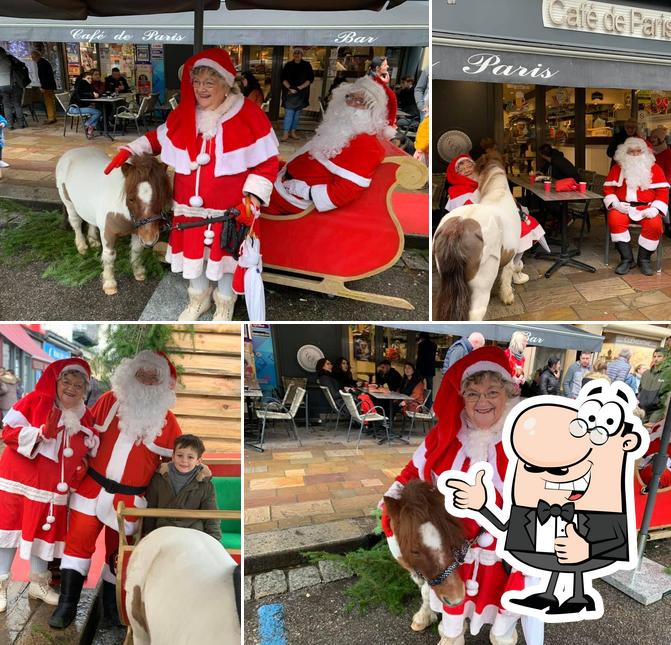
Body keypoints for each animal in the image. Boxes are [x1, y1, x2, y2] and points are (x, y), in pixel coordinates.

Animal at [55, 147, 172, 296]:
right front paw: (110, 284)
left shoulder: (137, 231)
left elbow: (137, 251)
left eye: (161, 197)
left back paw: (93, 241)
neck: (122, 209)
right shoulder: (108, 233)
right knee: (76, 223)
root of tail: (72, 151)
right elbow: (109, 256)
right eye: (131, 199)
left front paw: (138, 272)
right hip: (69, 203)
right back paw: (82, 247)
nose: (150, 239)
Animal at [384, 478, 468, 640]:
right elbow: (422, 587)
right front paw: (424, 616)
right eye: (414, 551)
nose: (456, 599)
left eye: (450, 537)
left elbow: (426, 591)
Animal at [434, 152, 524, 322]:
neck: (499, 192)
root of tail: (458, 228)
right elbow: (507, 275)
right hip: (481, 288)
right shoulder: (511, 255)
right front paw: (507, 296)